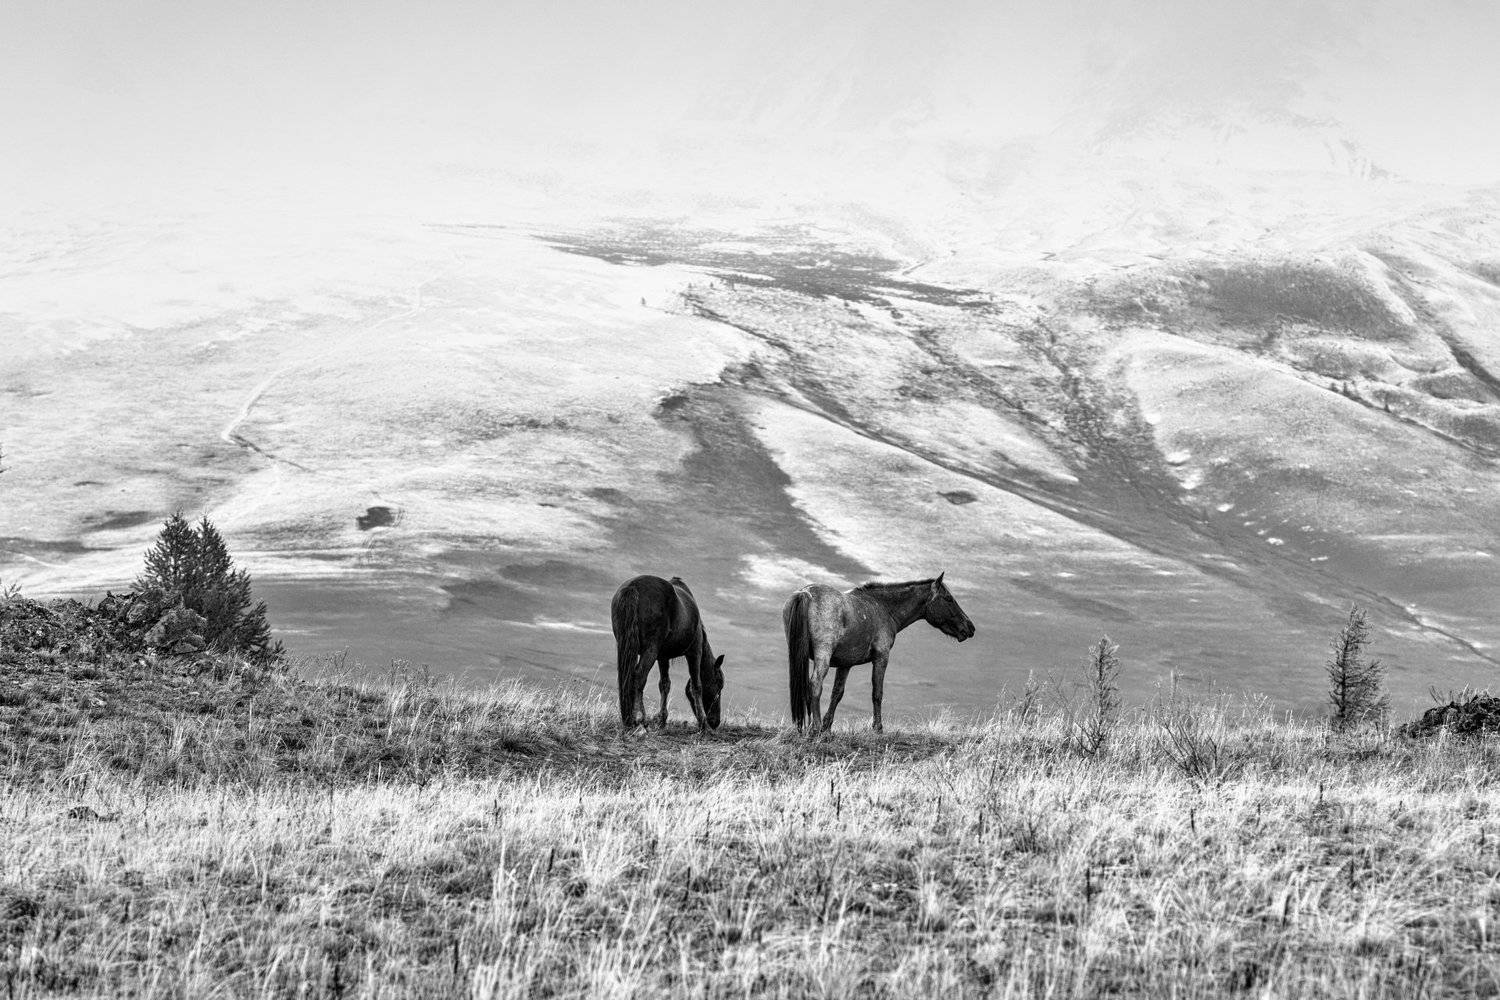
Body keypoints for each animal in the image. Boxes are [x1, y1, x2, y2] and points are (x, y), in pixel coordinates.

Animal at [611, 575, 725, 732]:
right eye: (719, 686)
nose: (715, 722)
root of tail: (632, 587)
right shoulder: (695, 652)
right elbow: (697, 686)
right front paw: (703, 724)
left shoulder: (663, 657)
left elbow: (664, 684)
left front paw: (662, 720)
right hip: (650, 650)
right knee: (638, 677)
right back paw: (640, 718)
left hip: (627, 646)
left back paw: (630, 719)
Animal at [783, 573, 975, 734]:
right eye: (948, 599)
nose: (970, 628)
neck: (883, 608)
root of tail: (805, 593)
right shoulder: (881, 657)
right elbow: (877, 693)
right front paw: (878, 728)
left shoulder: (846, 664)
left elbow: (837, 693)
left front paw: (827, 727)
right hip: (823, 655)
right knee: (815, 685)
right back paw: (814, 727)